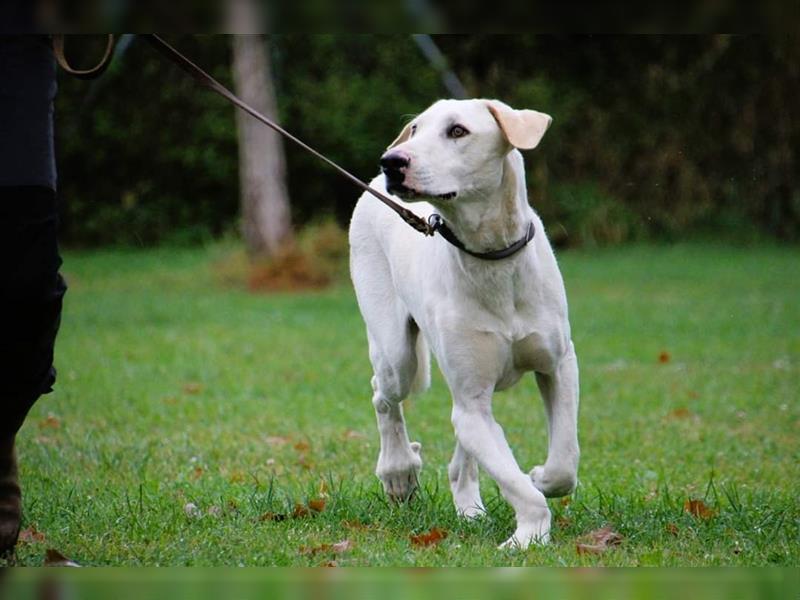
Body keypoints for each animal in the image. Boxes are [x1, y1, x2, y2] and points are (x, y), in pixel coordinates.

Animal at [346, 98, 580, 548]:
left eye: (457, 131)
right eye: (415, 129)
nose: (392, 162)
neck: (492, 256)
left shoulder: (559, 365)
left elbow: (564, 463)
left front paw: (542, 478)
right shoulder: (470, 403)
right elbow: (512, 479)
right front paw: (529, 535)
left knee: (460, 460)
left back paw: (468, 508)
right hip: (397, 354)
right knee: (383, 394)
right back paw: (398, 472)